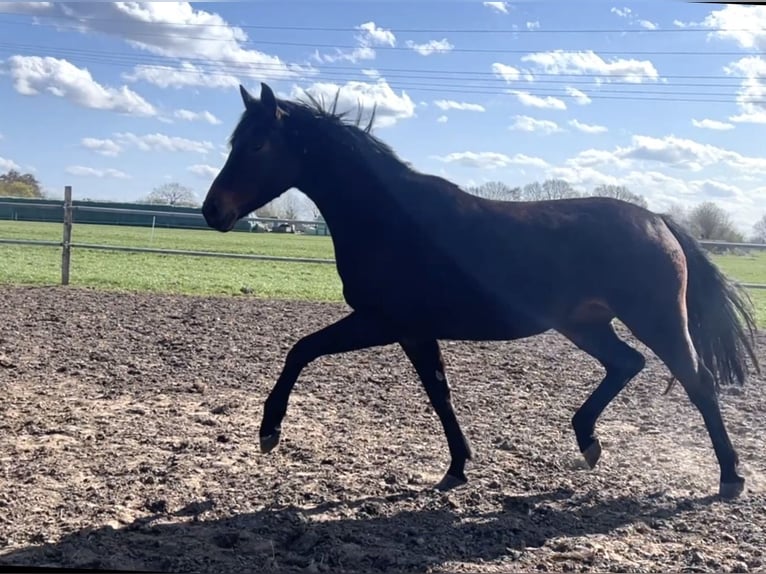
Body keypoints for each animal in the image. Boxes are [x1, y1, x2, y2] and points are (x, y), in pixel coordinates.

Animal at [201, 82, 760, 500]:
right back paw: (588, 442)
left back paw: (730, 478)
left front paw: (269, 432)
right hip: (585, 324)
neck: (389, 218)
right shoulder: (410, 331)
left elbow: (302, 350)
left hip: (656, 319)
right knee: (627, 363)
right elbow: (437, 392)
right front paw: (457, 467)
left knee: (698, 381)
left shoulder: (384, 322)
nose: (212, 211)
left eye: (256, 145)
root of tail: (659, 220)